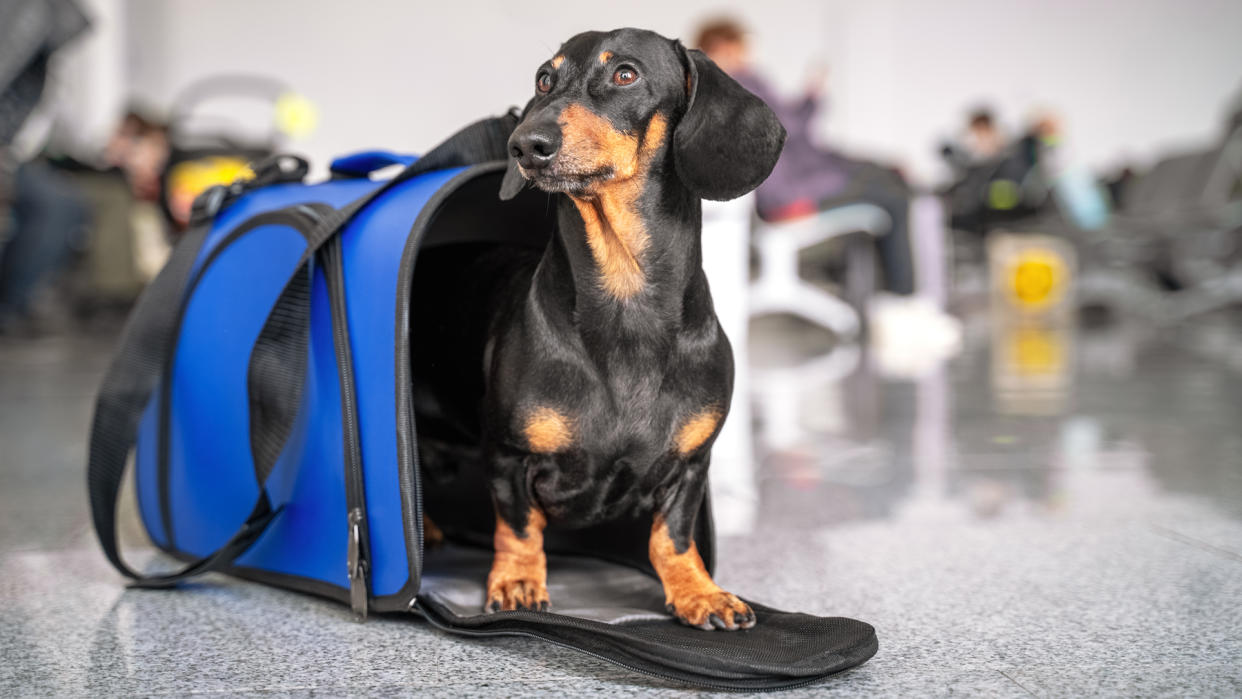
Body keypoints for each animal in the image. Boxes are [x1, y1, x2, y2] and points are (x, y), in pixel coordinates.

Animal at [422, 27, 779, 630]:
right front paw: (518, 582)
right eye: (545, 78)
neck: (624, 295)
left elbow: (671, 537)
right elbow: (519, 527)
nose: (525, 144)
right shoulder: (508, 455)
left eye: (625, 74)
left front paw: (698, 592)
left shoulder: (691, 466)